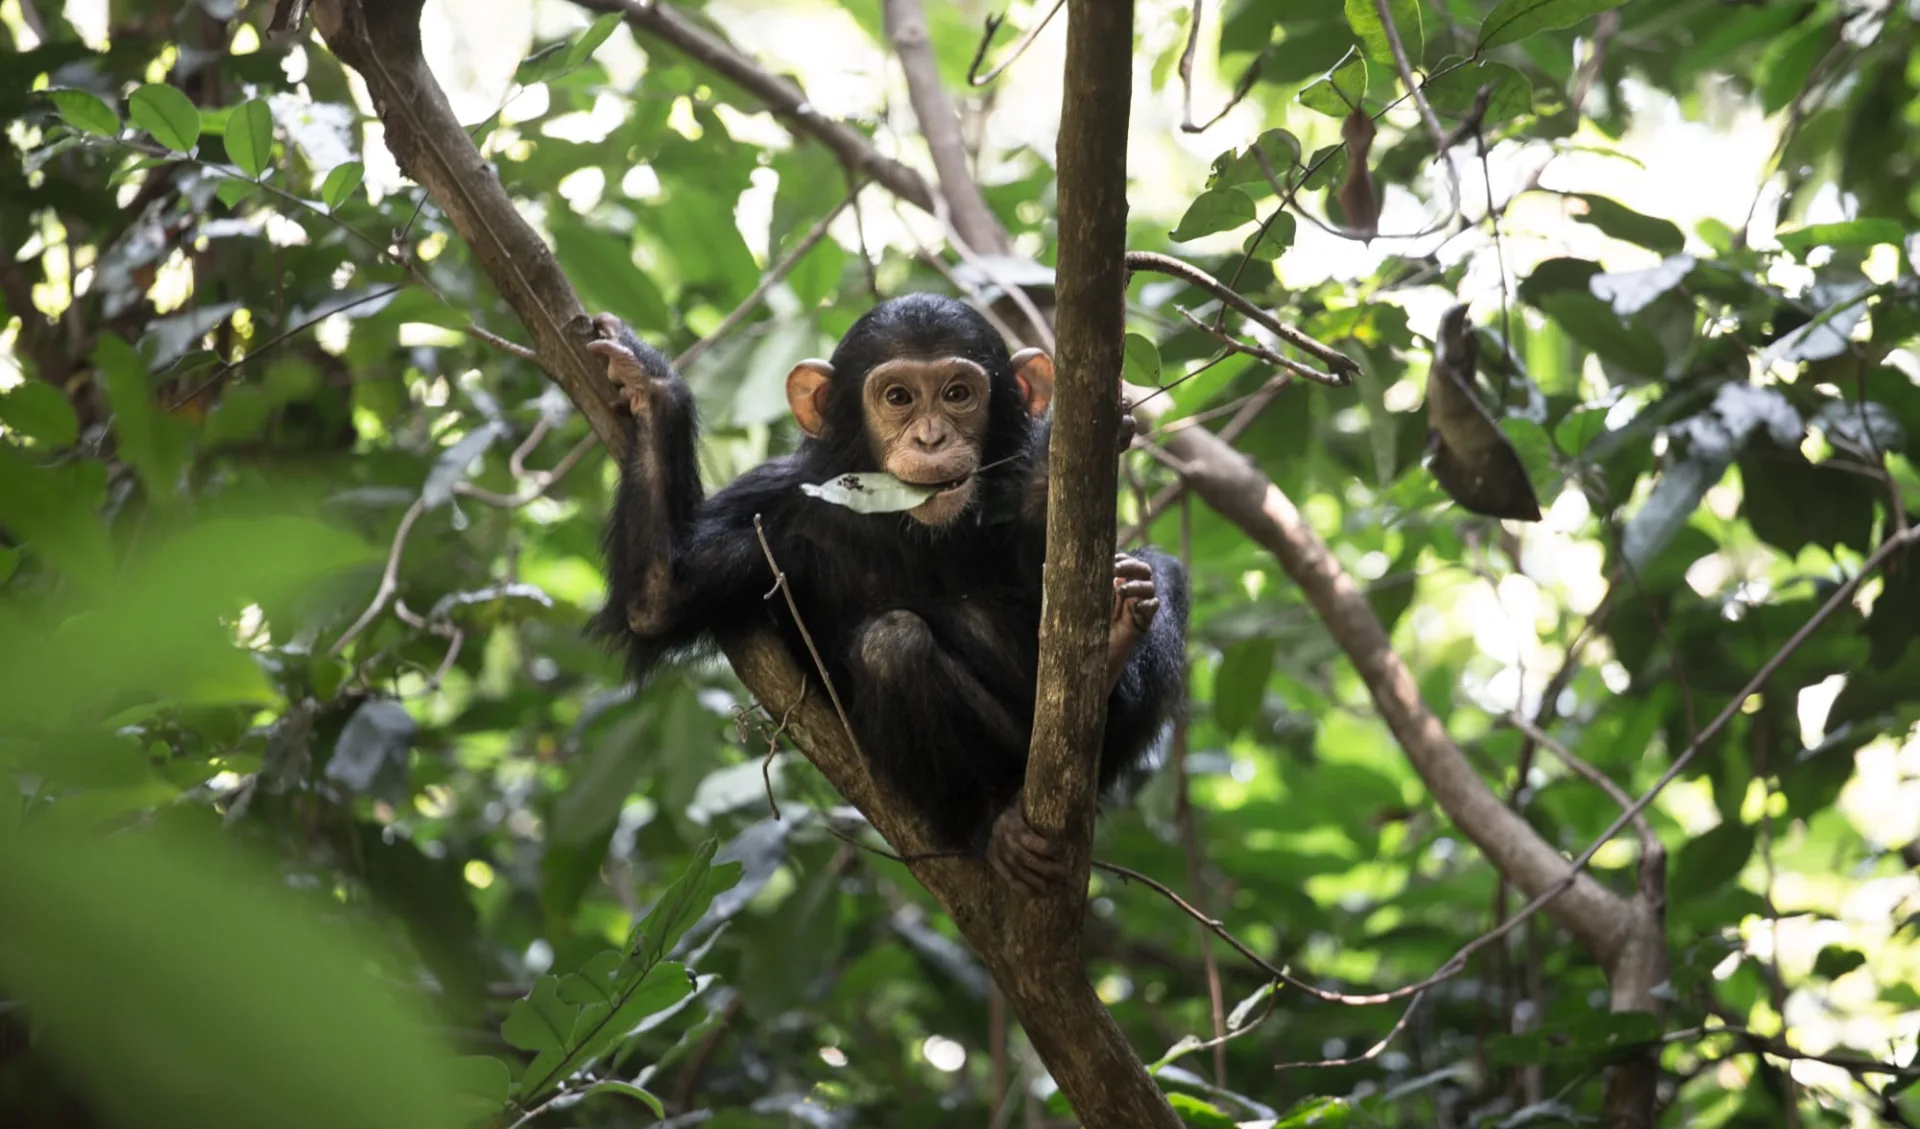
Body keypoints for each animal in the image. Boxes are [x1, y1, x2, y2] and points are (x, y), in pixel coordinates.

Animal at [583, 291, 1182, 890]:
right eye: (898, 397)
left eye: (958, 394)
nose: (930, 437)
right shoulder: (773, 504)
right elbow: (658, 598)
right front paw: (649, 383)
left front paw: (1048, 470)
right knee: (893, 645)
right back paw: (995, 815)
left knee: (1161, 571)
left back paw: (1119, 633)